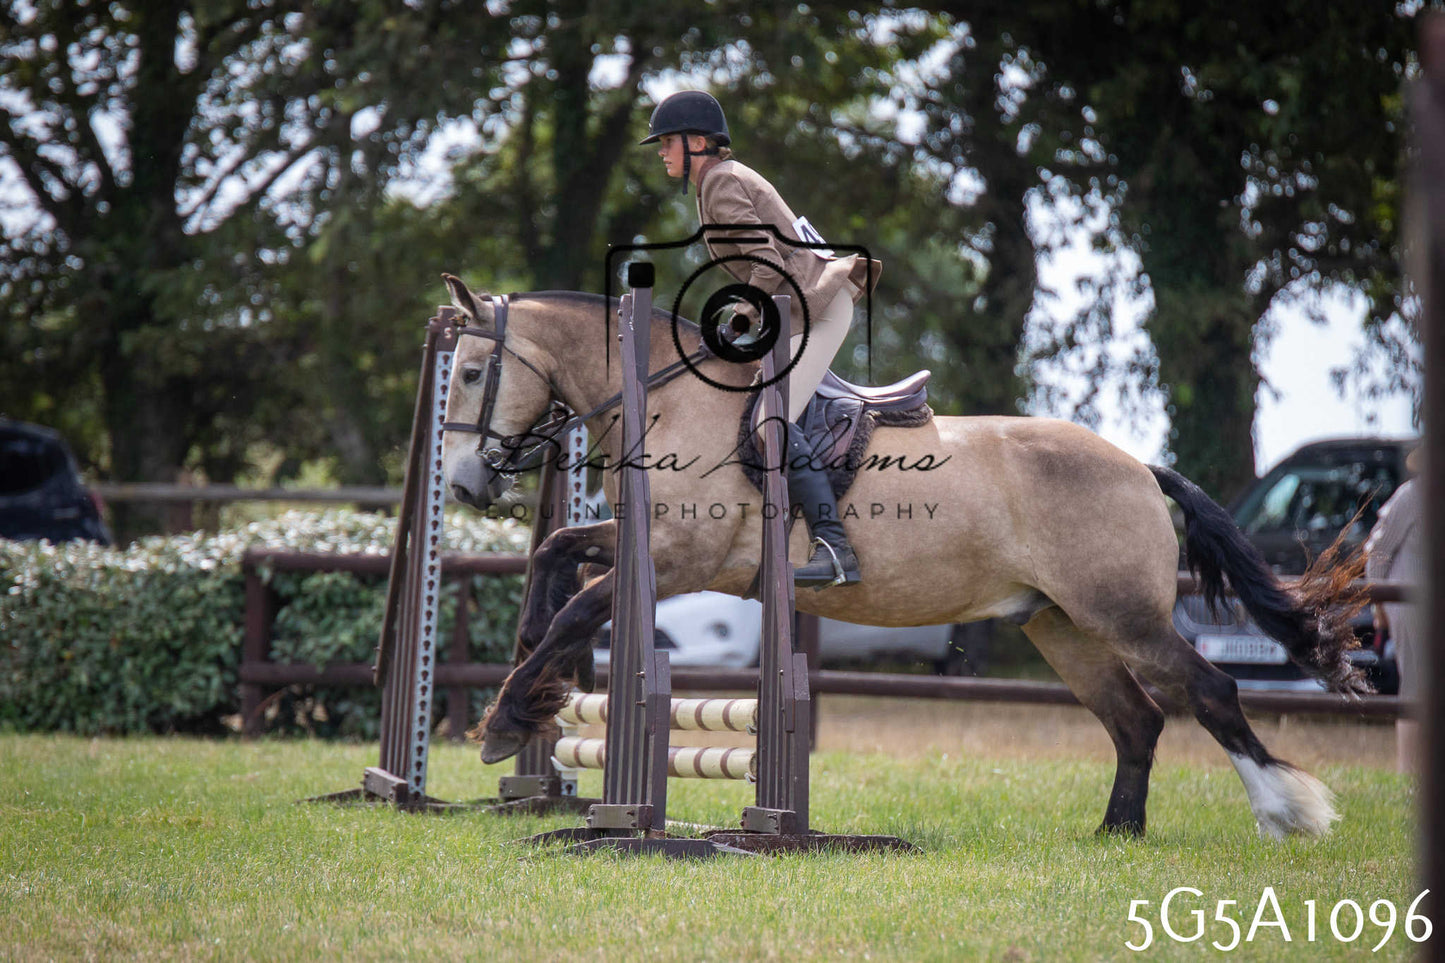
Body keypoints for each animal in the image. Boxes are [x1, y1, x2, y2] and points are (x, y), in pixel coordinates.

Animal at [438, 276, 1369, 839]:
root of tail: (1139, 464)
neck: (665, 396)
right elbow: (555, 555)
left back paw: (1285, 812)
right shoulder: (649, 547)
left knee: (1208, 692)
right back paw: (1116, 833)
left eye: (475, 370)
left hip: (1121, 613)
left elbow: (578, 606)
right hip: (1059, 624)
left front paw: (507, 717)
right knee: (1135, 718)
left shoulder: (680, 561)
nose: (466, 483)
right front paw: (534, 683)